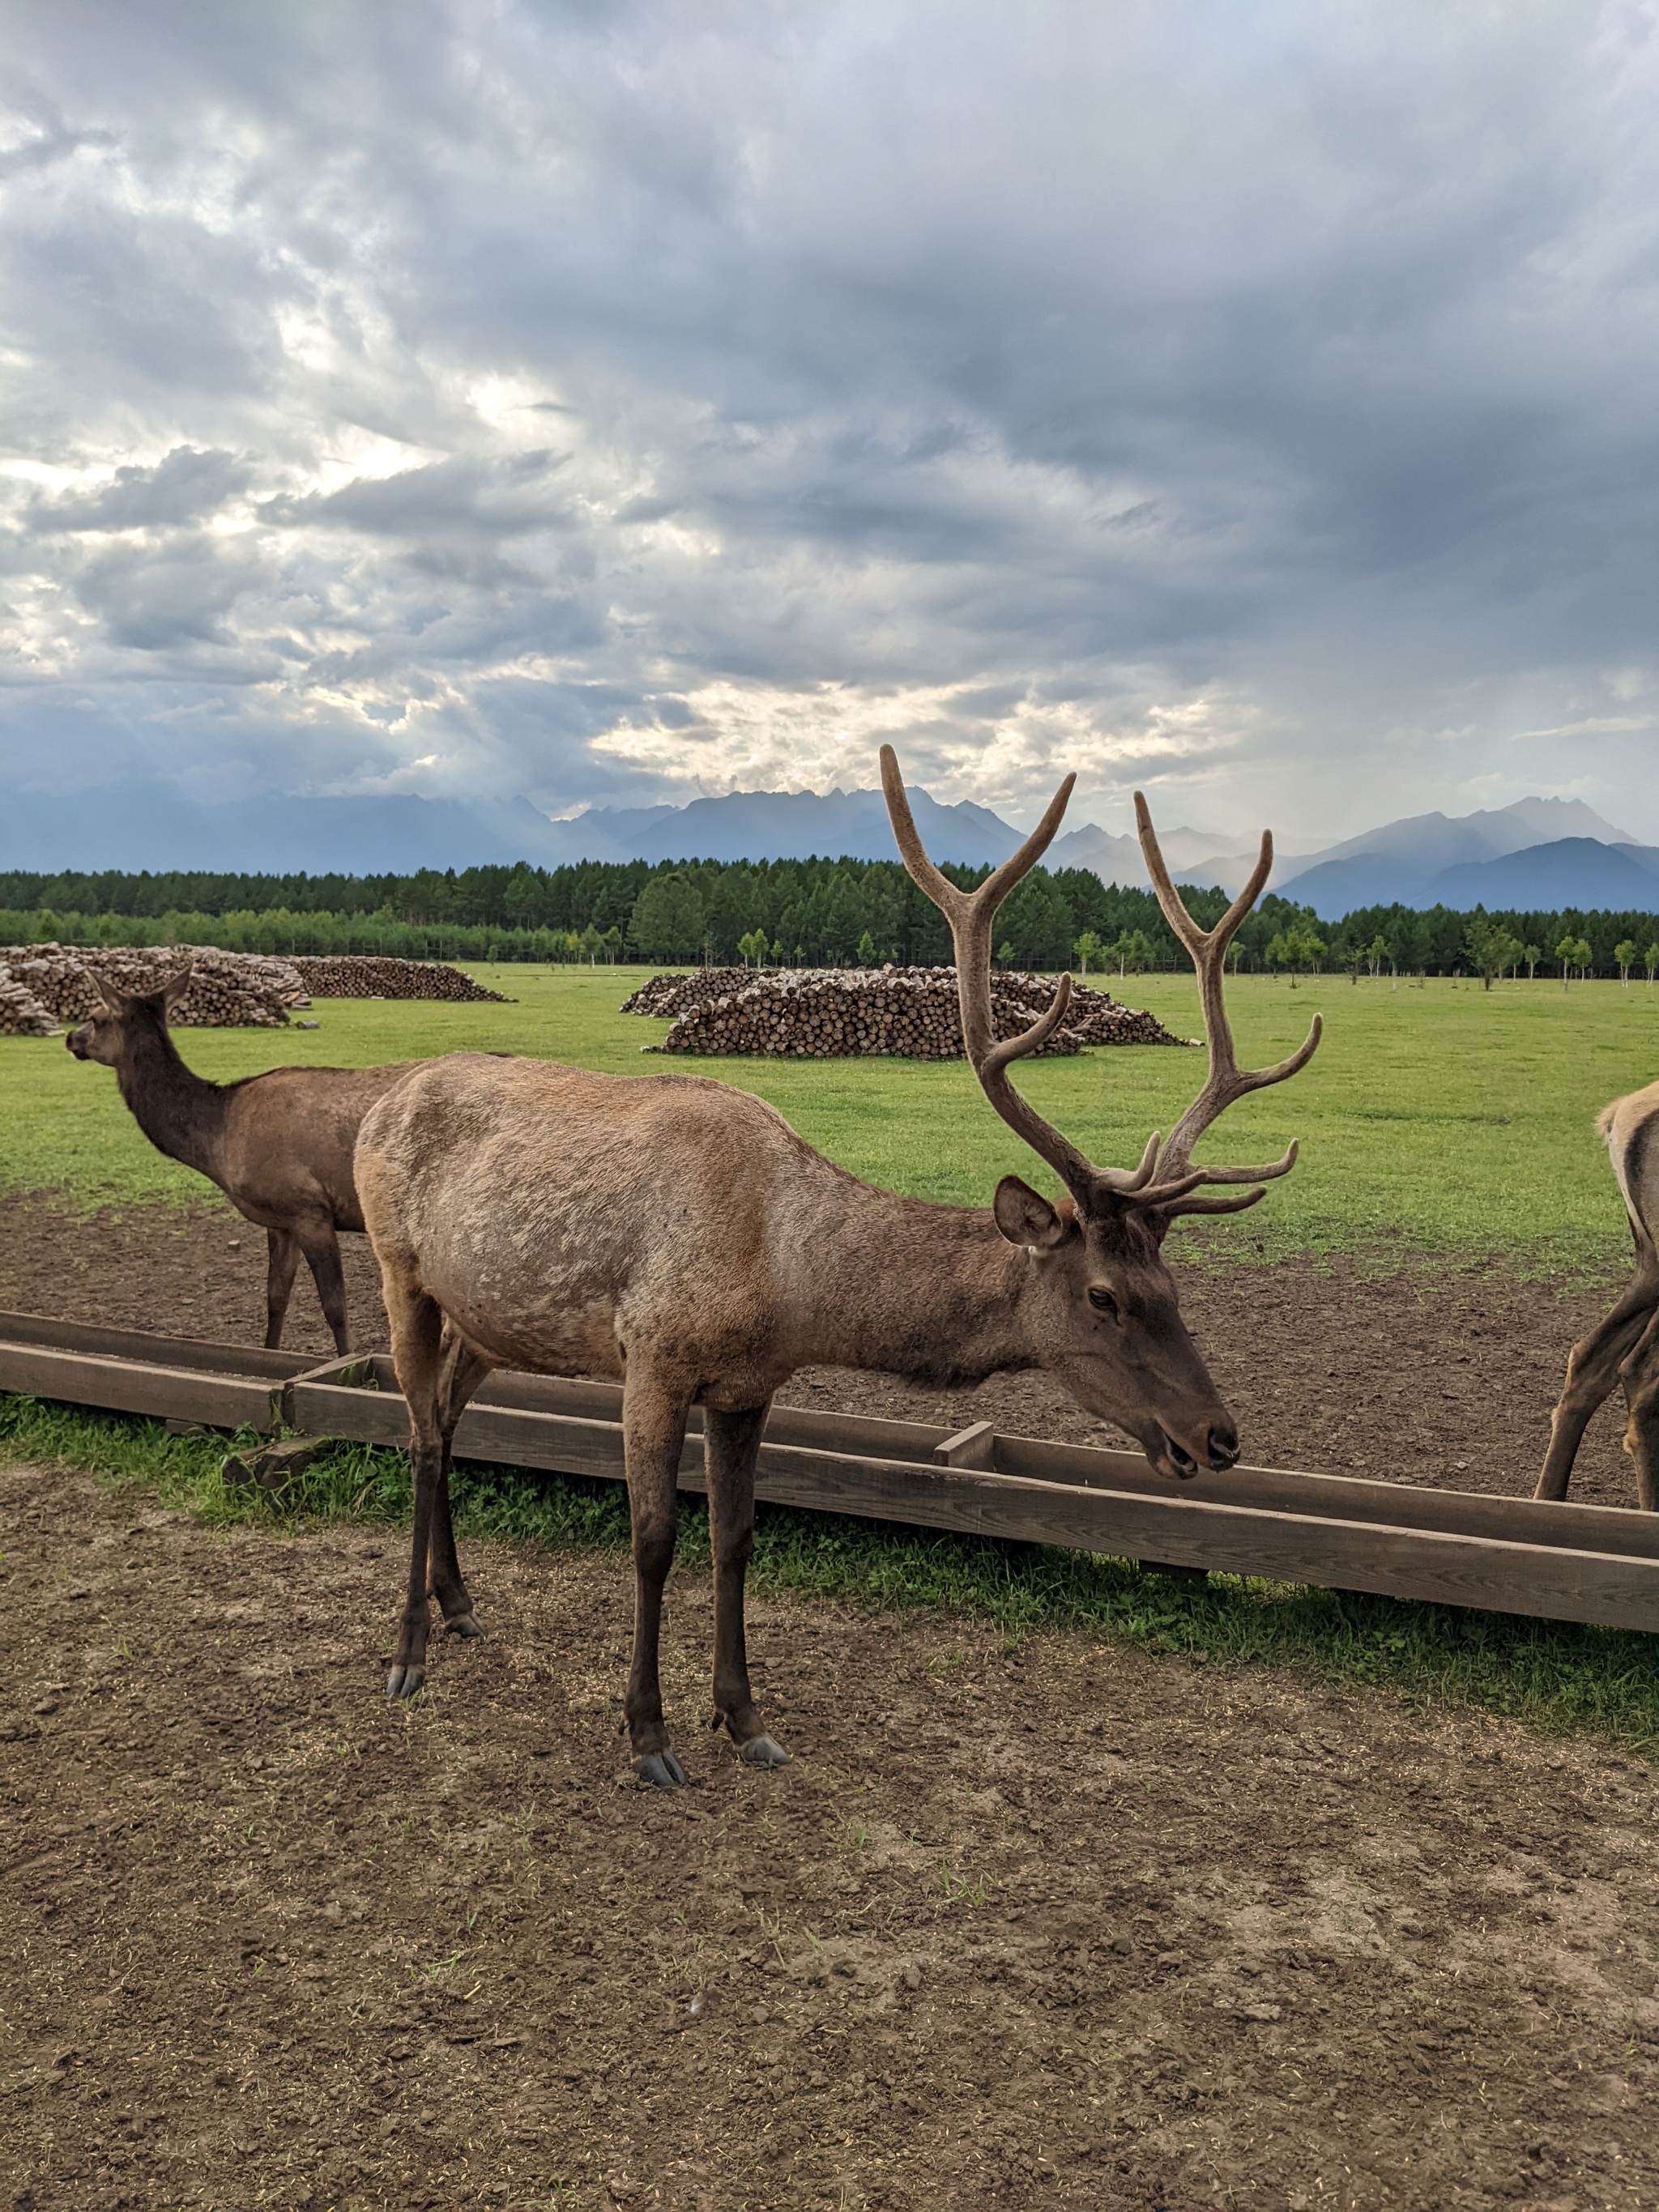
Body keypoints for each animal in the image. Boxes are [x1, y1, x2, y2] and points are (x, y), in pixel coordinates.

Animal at [70, 978, 422, 1353]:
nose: (70, 1038)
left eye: (95, 1016)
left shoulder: (310, 1209)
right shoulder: (280, 1220)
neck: (220, 1140)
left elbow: (335, 1307)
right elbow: (275, 1297)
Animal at [353, 752, 1327, 1787]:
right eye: (1102, 1294)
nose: (1217, 1436)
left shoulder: (748, 1384)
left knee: (447, 1415)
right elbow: (653, 1541)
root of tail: (381, 1098)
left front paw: (743, 1716)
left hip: (486, 1314)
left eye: (1174, 1288)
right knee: (419, 1433)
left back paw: (460, 1606)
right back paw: (407, 1653)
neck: (780, 1282)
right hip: (398, 1267)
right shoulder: (651, 1355)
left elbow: (734, 1537)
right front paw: (648, 1734)